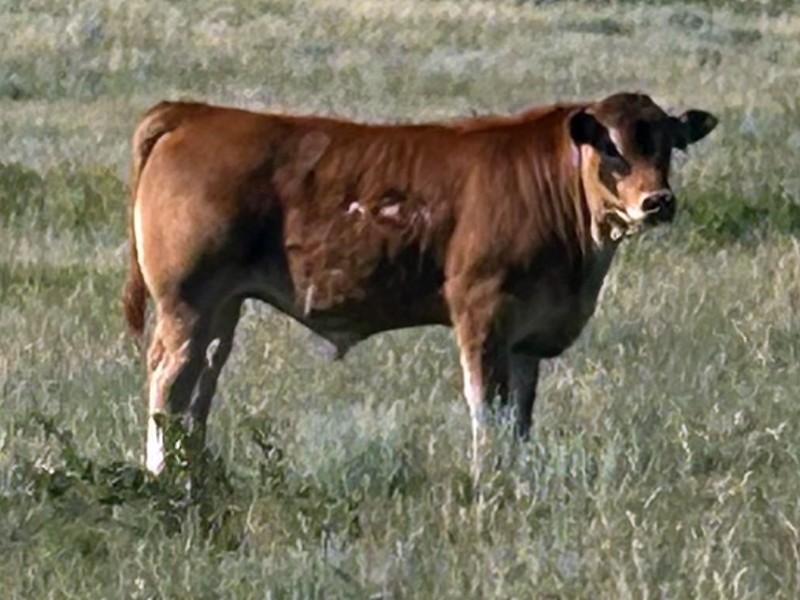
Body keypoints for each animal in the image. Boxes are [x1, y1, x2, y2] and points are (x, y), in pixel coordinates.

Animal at [122, 93, 717, 478]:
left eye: (668, 146)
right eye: (611, 148)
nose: (658, 201)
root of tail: (196, 113)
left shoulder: (527, 337)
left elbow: (520, 414)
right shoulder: (482, 313)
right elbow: (487, 406)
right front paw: (487, 480)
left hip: (223, 307)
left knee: (202, 381)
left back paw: (197, 472)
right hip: (186, 304)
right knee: (170, 383)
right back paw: (163, 477)